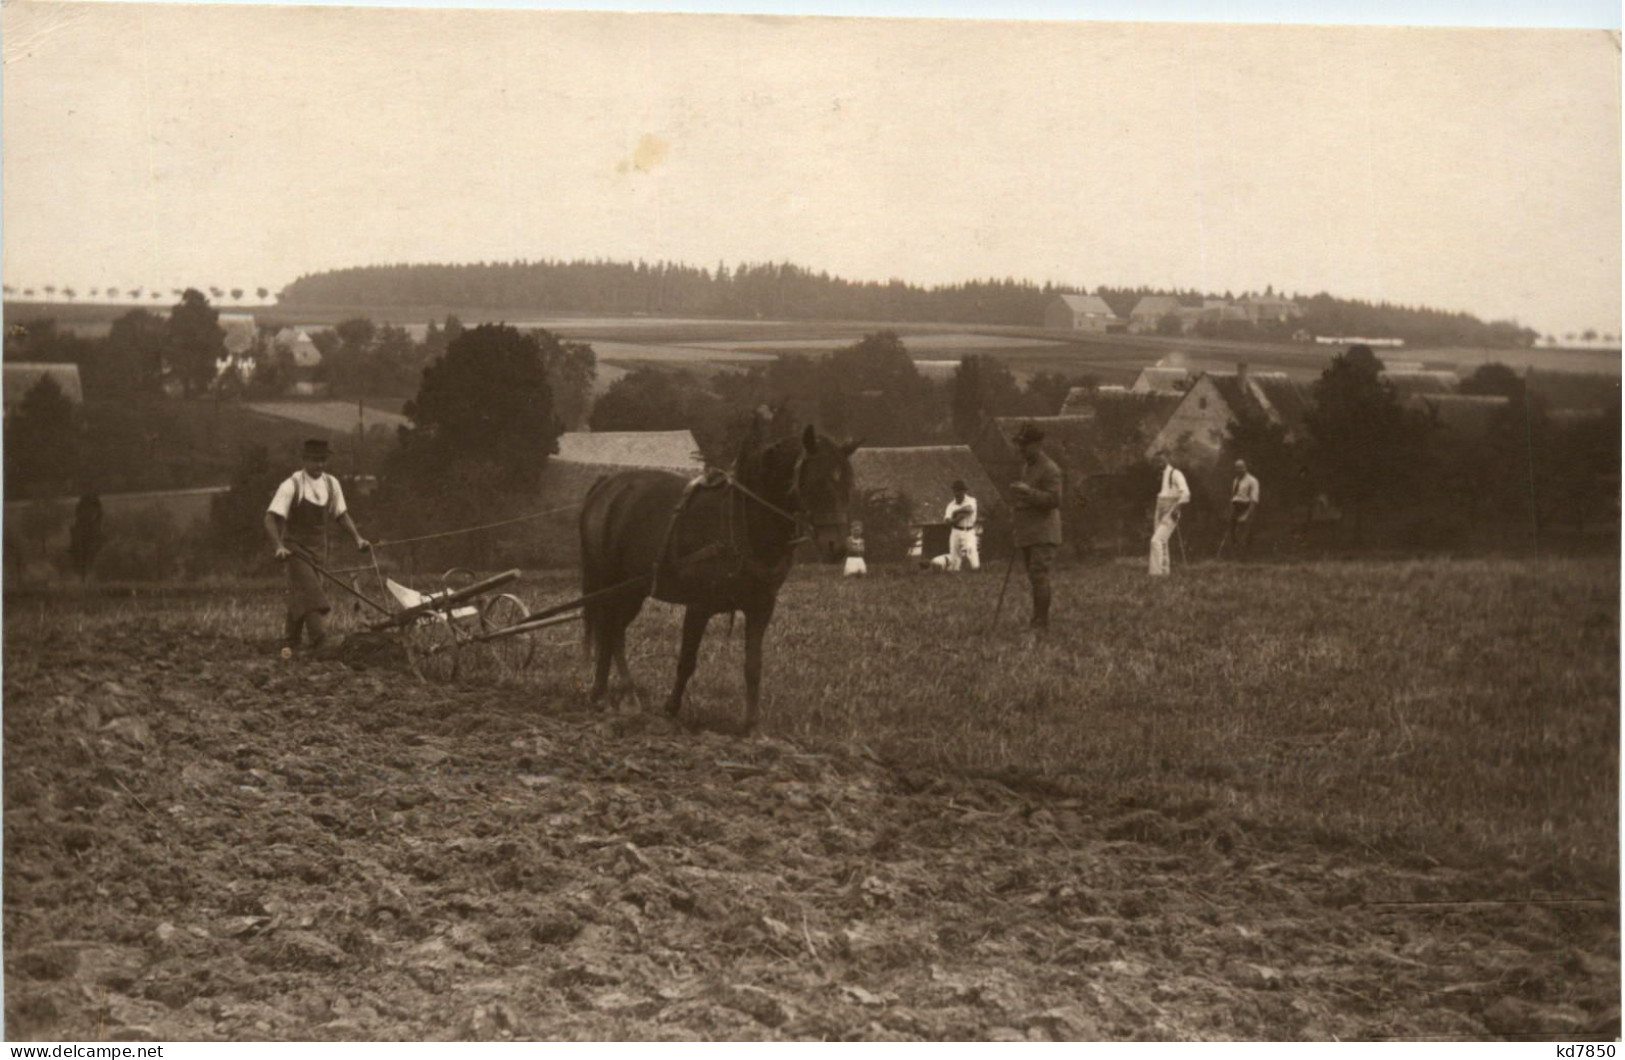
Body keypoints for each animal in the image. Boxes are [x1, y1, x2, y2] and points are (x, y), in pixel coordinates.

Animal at [578, 419, 858, 728]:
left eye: (848, 484)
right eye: (817, 481)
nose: (837, 547)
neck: (742, 522)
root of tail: (607, 484)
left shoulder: (761, 606)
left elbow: (753, 665)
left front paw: (751, 724)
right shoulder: (699, 606)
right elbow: (687, 661)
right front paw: (671, 708)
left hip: (632, 590)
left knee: (613, 632)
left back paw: (619, 695)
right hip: (608, 583)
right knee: (607, 630)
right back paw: (606, 694)